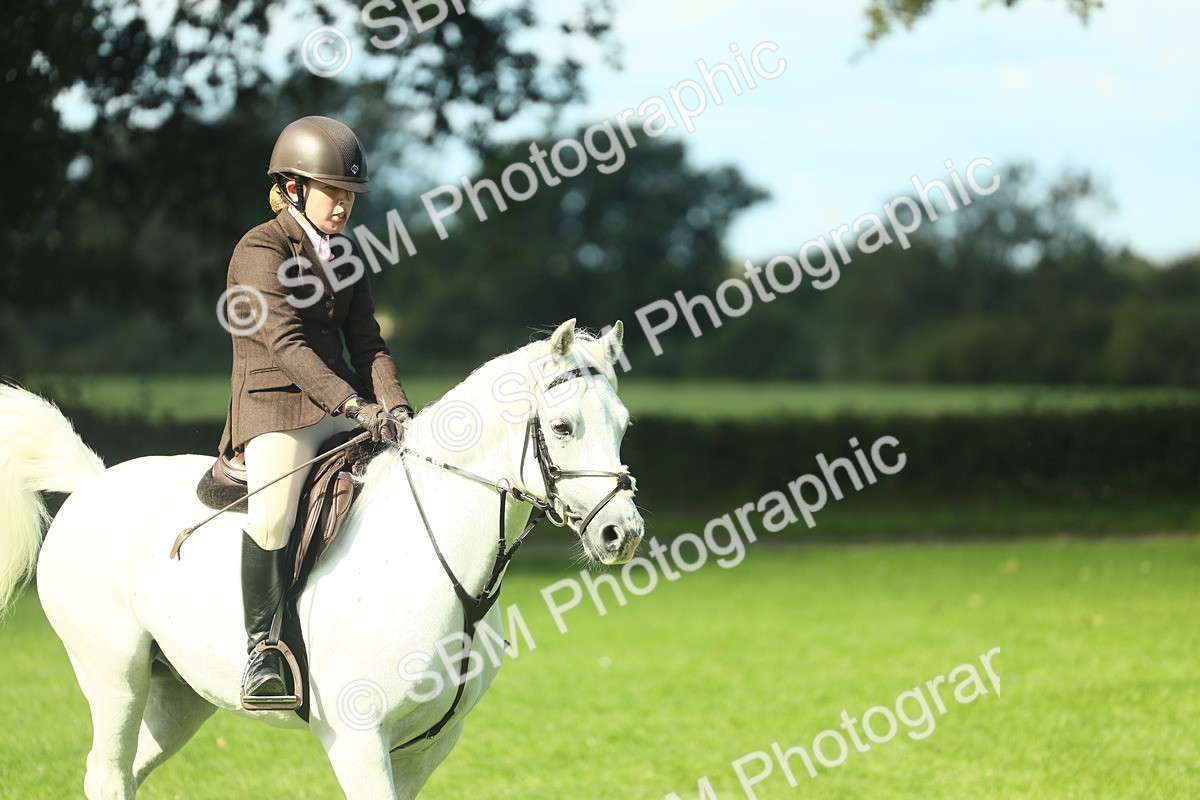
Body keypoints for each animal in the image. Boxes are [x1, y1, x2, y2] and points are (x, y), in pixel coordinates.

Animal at [0, 318, 644, 799]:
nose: (623, 533)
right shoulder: (359, 743)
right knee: (108, 773)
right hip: (116, 678)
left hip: (179, 697)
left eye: (623, 425)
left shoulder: (428, 747)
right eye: (562, 427)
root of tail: (92, 483)